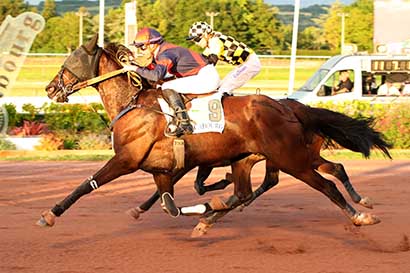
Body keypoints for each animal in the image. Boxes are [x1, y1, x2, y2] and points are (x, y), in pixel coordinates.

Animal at [37, 35, 390, 228]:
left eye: (69, 63)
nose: (50, 88)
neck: (133, 103)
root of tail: (289, 108)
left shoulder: (127, 159)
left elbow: (87, 185)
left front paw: (50, 214)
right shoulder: (163, 169)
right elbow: (170, 205)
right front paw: (206, 206)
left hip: (292, 159)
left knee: (325, 185)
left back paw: (360, 215)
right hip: (260, 157)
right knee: (269, 185)